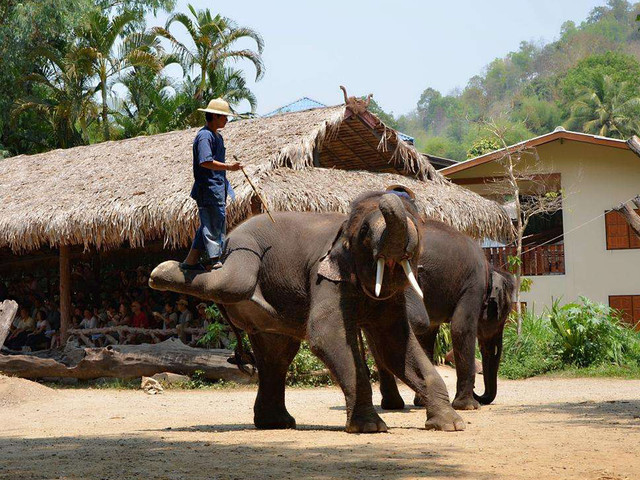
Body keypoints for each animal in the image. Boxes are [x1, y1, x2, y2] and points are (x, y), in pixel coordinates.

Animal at [150, 192, 464, 436]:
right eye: (364, 233)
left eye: (416, 226)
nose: (389, 194)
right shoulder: (323, 276)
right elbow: (326, 336)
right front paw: (370, 428)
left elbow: (395, 345)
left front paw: (451, 425)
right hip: (243, 252)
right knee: (235, 283)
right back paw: (163, 272)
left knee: (277, 354)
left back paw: (276, 424)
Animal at [376, 216, 516, 410]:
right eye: (502, 318)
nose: (478, 393)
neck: (491, 268)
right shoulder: (474, 285)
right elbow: (461, 329)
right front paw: (468, 406)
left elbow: (428, 336)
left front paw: (422, 402)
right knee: (413, 322)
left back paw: (392, 404)